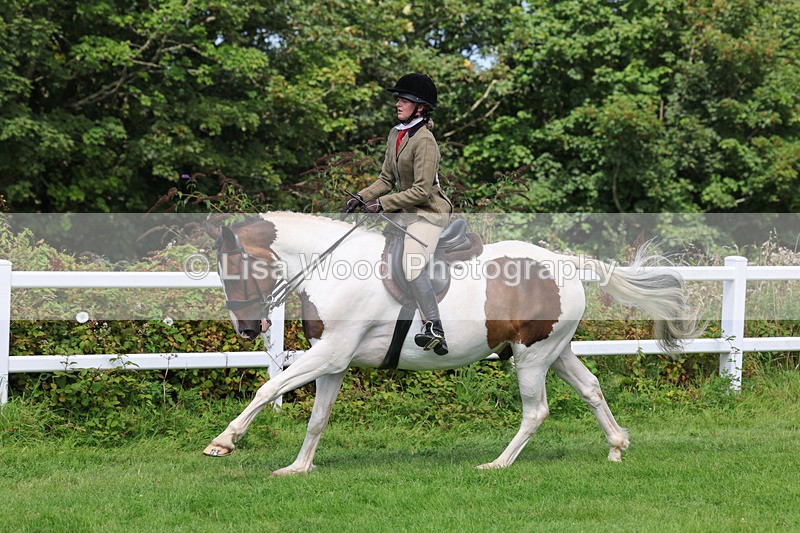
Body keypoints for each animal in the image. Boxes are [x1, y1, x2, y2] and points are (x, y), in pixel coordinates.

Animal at [203, 212, 700, 476]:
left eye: (236, 269)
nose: (247, 329)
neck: (330, 266)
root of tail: (564, 261)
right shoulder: (334, 361)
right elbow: (318, 418)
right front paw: (299, 468)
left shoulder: (330, 354)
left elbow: (269, 388)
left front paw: (223, 442)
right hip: (555, 350)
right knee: (592, 388)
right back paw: (616, 445)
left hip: (531, 356)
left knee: (536, 411)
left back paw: (498, 465)